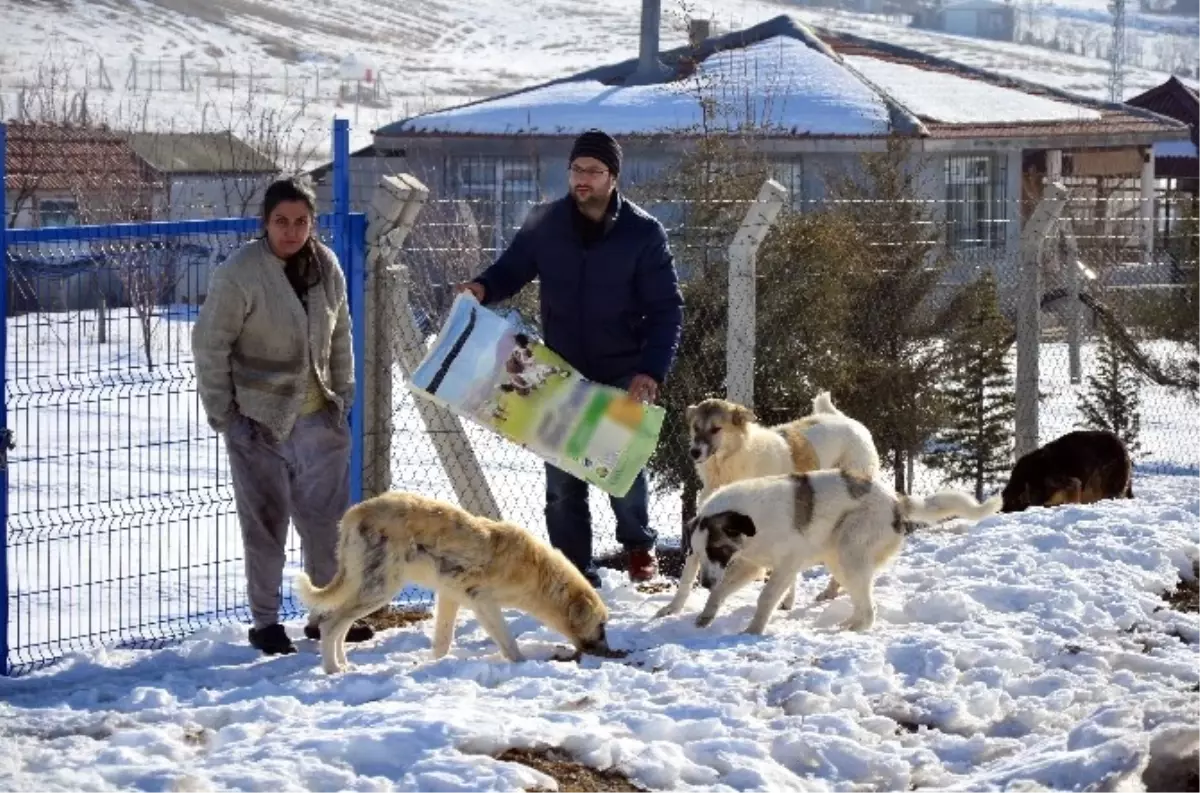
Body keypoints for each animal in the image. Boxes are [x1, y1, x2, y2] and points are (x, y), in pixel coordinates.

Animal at [291, 491, 609, 671]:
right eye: (602, 626)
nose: (608, 653)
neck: (538, 572)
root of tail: (354, 514)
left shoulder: (450, 597)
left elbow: (443, 642)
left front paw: (435, 665)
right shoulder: (484, 603)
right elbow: (508, 642)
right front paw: (522, 665)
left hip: (366, 587)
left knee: (338, 624)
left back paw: (343, 664)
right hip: (379, 589)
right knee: (331, 624)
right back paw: (333, 670)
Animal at [657, 472, 1003, 633]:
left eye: (717, 548)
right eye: (698, 553)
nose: (703, 582)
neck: (752, 520)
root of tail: (894, 499)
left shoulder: (786, 564)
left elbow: (766, 598)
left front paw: (752, 631)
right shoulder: (748, 564)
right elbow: (722, 592)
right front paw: (706, 616)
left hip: (850, 554)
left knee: (869, 610)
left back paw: (852, 632)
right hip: (840, 561)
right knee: (860, 602)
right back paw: (845, 624)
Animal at [686, 388, 883, 607]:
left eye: (716, 429)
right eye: (695, 428)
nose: (694, 452)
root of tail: (847, 420)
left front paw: (786, 601)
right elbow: (688, 572)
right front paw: (672, 608)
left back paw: (831, 591)